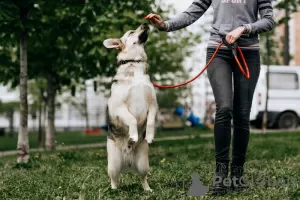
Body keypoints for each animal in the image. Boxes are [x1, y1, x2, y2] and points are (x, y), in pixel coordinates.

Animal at [103, 22, 158, 191]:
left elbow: (150, 121)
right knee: (114, 178)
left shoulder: (153, 105)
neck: (134, 64)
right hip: (113, 163)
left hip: (143, 162)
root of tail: (127, 162)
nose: (145, 23)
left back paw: (147, 189)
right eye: (131, 32)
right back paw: (114, 190)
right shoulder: (119, 107)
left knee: (143, 177)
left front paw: (149, 136)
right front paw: (133, 136)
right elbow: (132, 119)